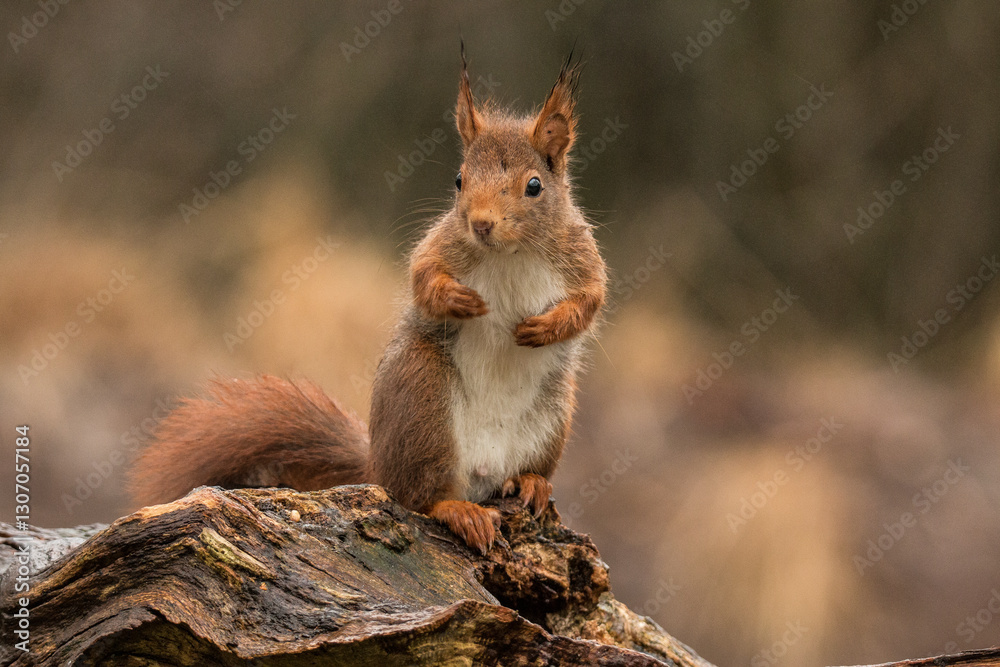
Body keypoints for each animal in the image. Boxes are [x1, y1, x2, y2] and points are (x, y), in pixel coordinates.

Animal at [129, 50, 607, 555]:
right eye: (458, 179)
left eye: (534, 186)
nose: (480, 224)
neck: (510, 253)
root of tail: (378, 465)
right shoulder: (441, 246)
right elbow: (422, 278)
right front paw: (457, 298)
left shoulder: (581, 257)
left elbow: (591, 300)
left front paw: (547, 326)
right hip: (423, 400)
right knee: (420, 496)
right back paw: (458, 510)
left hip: (552, 416)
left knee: (519, 471)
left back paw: (531, 482)